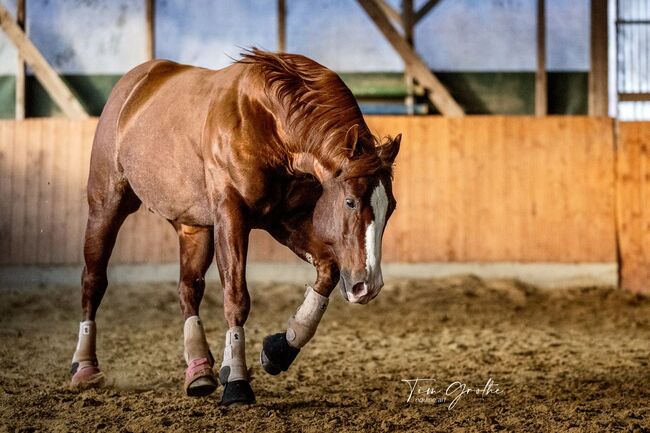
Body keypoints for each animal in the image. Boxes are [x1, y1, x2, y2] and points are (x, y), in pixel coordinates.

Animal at [68, 50, 398, 404]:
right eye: (350, 201)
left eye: (390, 207)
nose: (368, 285)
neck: (269, 122)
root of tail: (132, 85)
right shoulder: (231, 215)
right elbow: (236, 296)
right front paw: (237, 380)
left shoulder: (286, 220)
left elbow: (327, 270)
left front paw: (279, 349)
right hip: (106, 206)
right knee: (93, 280)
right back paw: (84, 367)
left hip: (193, 227)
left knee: (188, 289)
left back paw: (199, 370)